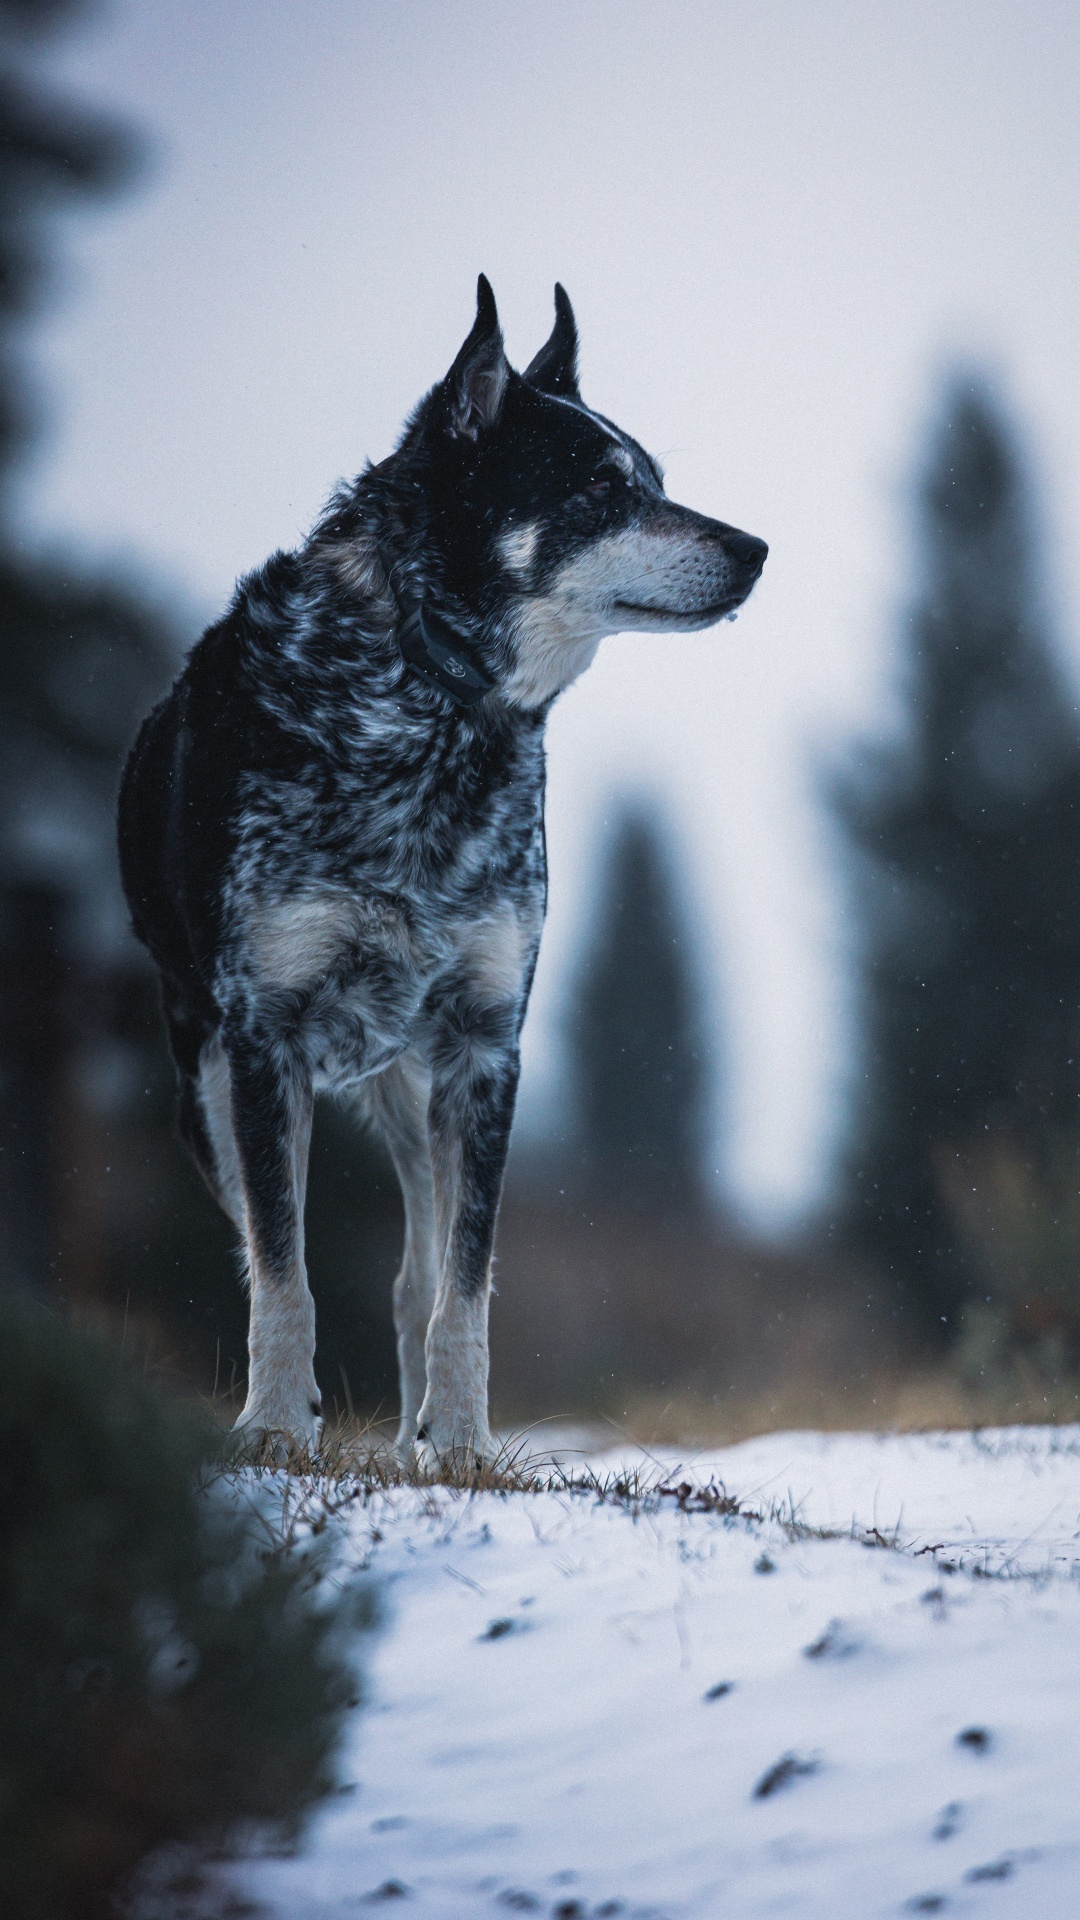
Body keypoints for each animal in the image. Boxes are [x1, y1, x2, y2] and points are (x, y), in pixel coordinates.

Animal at [117, 278, 766, 1465]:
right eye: (600, 486)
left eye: (655, 478)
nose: (756, 547)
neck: (427, 712)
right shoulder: (262, 1041)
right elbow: (282, 1273)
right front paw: (274, 1428)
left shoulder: (483, 1048)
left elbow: (463, 1287)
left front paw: (463, 1446)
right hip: (209, 1083)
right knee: (270, 1248)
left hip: (412, 1091)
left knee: (415, 1276)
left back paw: (418, 1430)